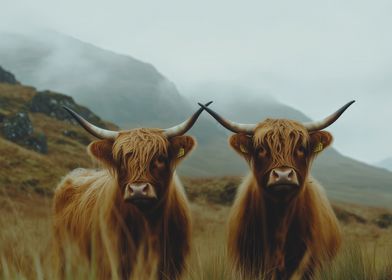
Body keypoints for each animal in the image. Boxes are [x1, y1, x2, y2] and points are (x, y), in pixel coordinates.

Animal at [52, 103, 211, 280]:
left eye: (160, 158)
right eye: (120, 160)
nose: (138, 190)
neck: (148, 223)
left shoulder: (172, 265)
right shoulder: (110, 263)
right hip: (63, 257)